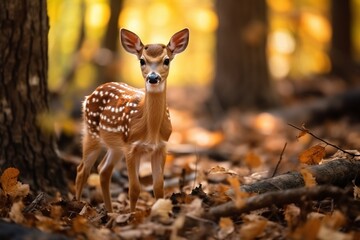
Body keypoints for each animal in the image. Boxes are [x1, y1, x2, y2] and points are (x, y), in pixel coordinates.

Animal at [74, 28, 190, 212]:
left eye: (166, 60)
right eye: (142, 60)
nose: (153, 78)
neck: (151, 130)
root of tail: (88, 97)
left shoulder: (161, 146)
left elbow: (159, 187)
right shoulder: (131, 146)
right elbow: (134, 188)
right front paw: (132, 215)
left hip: (115, 146)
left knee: (102, 170)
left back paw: (110, 212)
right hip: (91, 132)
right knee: (82, 169)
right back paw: (77, 205)